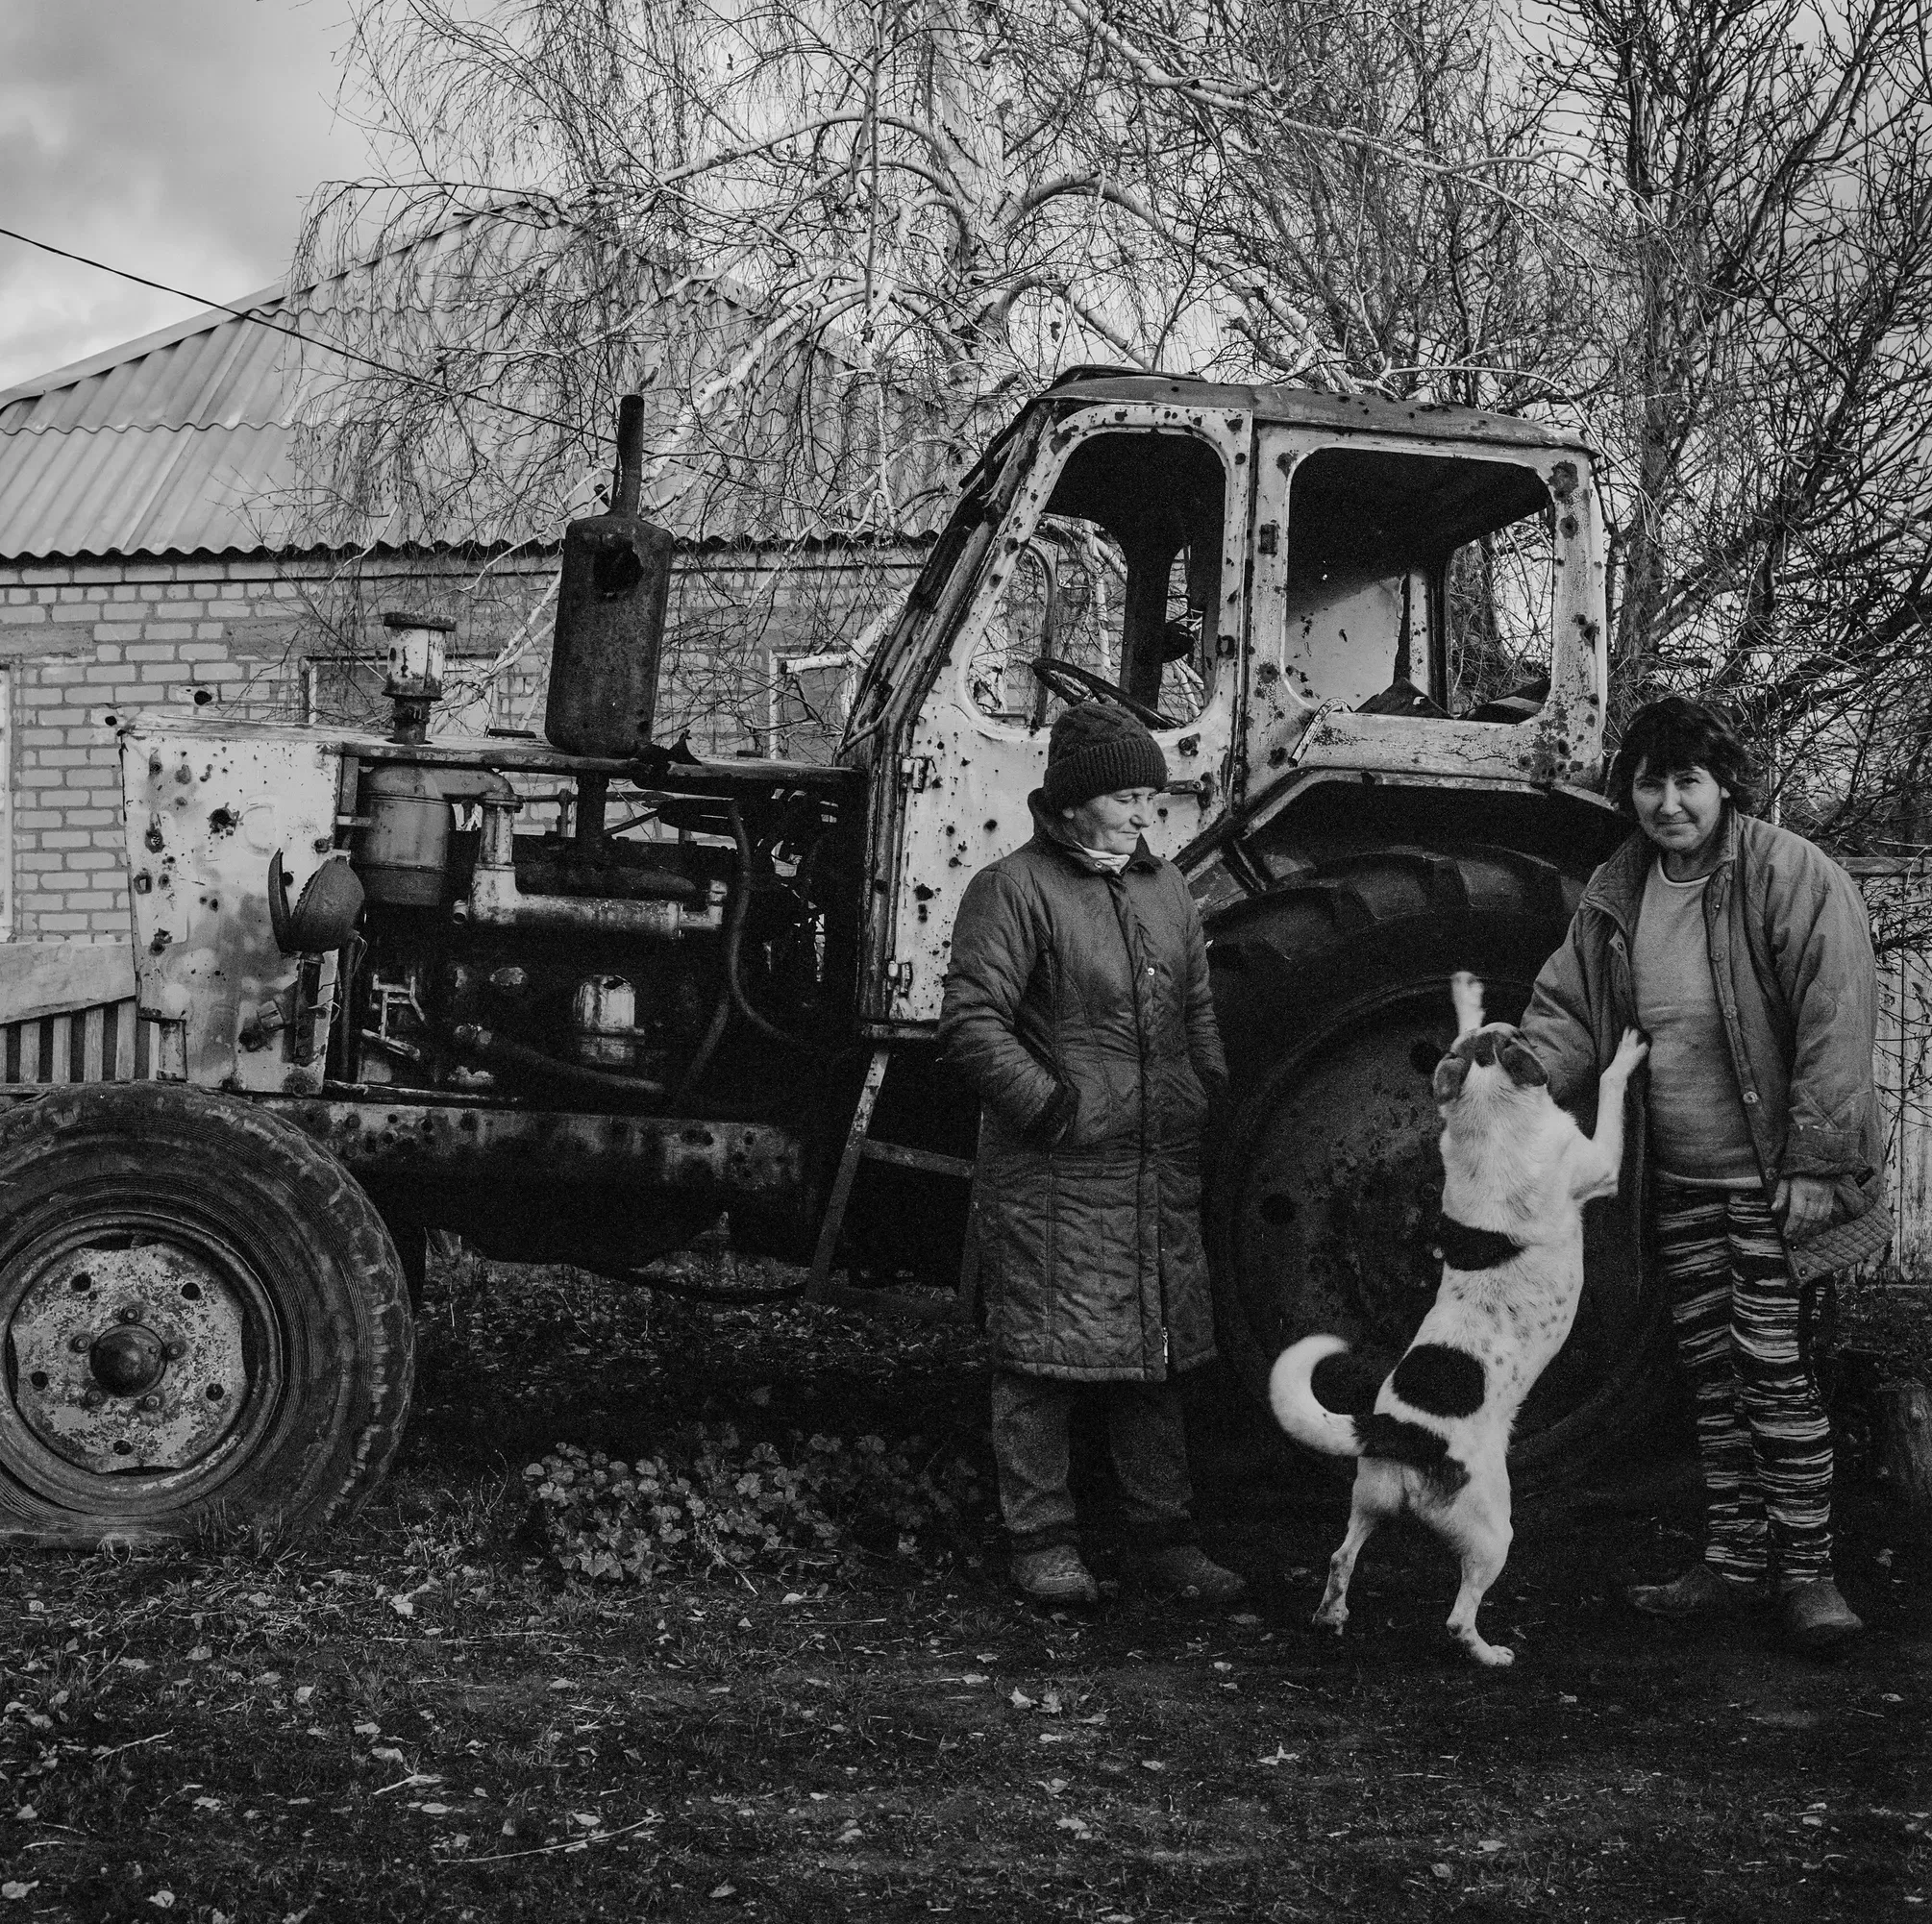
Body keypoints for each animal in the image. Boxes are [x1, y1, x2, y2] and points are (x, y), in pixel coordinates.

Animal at [1267, 970, 1646, 1661]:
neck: (1491, 1112)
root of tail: (1400, 1432)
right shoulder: (1598, 1164)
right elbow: (1609, 1087)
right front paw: (1626, 1054)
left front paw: (1465, 994)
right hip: (1493, 1529)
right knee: (1457, 1614)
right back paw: (1487, 1651)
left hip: (1369, 1499)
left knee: (1340, 1556)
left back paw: (1331, 1617)